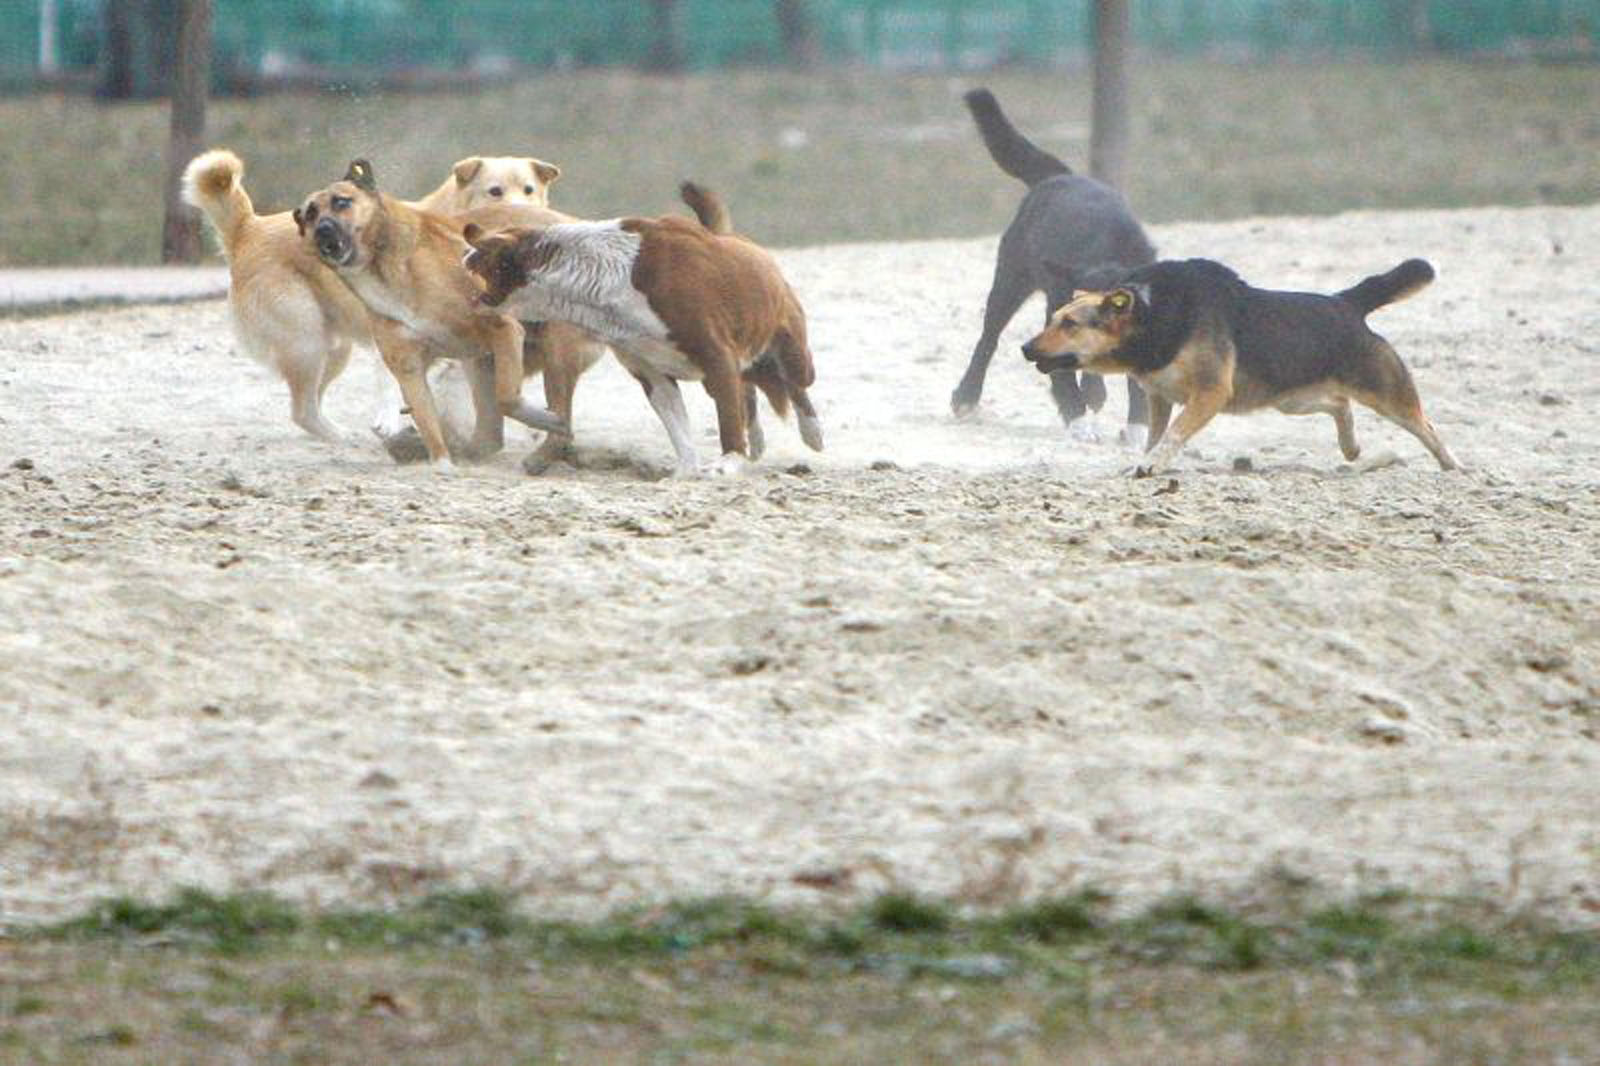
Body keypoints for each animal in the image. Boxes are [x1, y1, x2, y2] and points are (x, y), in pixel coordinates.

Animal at [460, 184, 812, 476]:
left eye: (482, 255)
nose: (462, 256)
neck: (608, 277)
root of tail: (743, 242)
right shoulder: (651, 372)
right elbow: (679, 427)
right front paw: (686, 472)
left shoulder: (717, 358)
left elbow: (728, 418)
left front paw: (727, 463)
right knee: (751, 387)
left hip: (792, 355)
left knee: (795, 386)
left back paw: (812, 432)